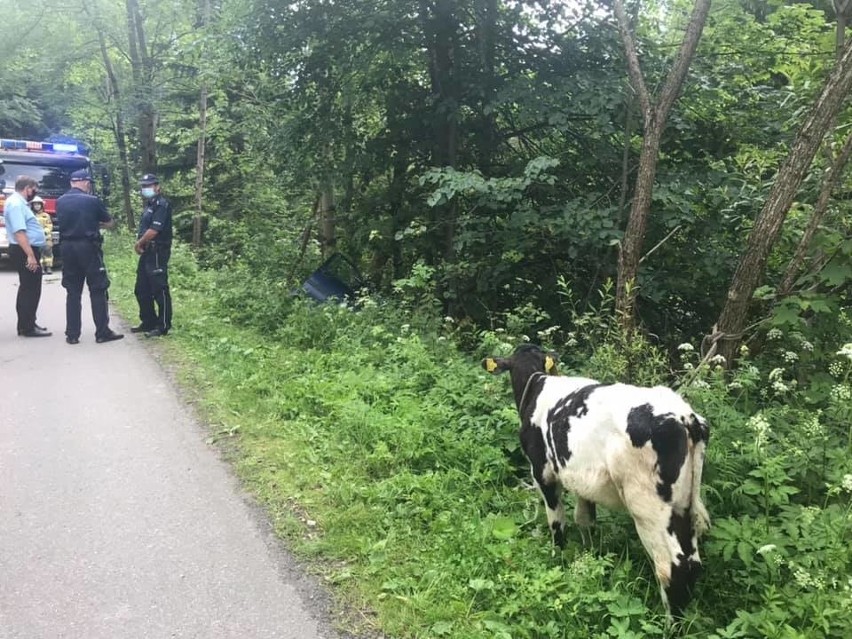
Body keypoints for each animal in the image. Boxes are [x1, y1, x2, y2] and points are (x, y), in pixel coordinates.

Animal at [482, 344, 708, 620]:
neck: (537, 384)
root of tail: (685, 416)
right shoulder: (583, 479)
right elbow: (584, 520)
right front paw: (590, 557)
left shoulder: (543, 472)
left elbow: (557, 522)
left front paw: (559, 558)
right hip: (684, 504)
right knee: (692, 562)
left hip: (650, 508)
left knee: (671, 567)